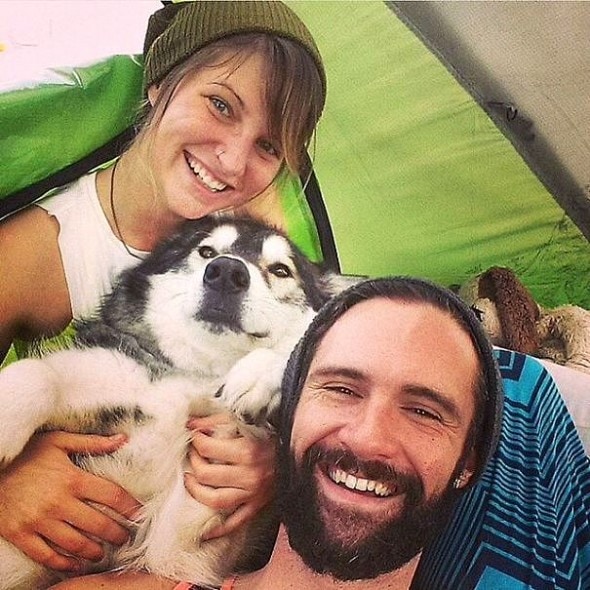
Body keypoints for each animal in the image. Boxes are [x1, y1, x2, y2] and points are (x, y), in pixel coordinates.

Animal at [0, 214, 352, 589]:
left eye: (281, 270)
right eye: (206, 251)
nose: (226, 272)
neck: (195, 374)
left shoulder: (181, 549)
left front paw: (260, 373)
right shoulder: (108, 370)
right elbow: (38, 372)